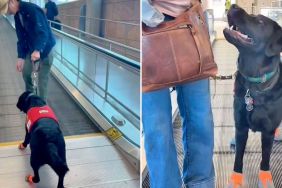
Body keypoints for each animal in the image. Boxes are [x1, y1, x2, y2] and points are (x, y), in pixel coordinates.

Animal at [224, 3, 282, 187]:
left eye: (260, 22)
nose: (233, 5)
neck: (254, 85)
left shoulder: (268, 131)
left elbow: (265, 159)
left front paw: (265, 177)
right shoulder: (241, 126)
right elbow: (238, 158)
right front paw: (236, 179)